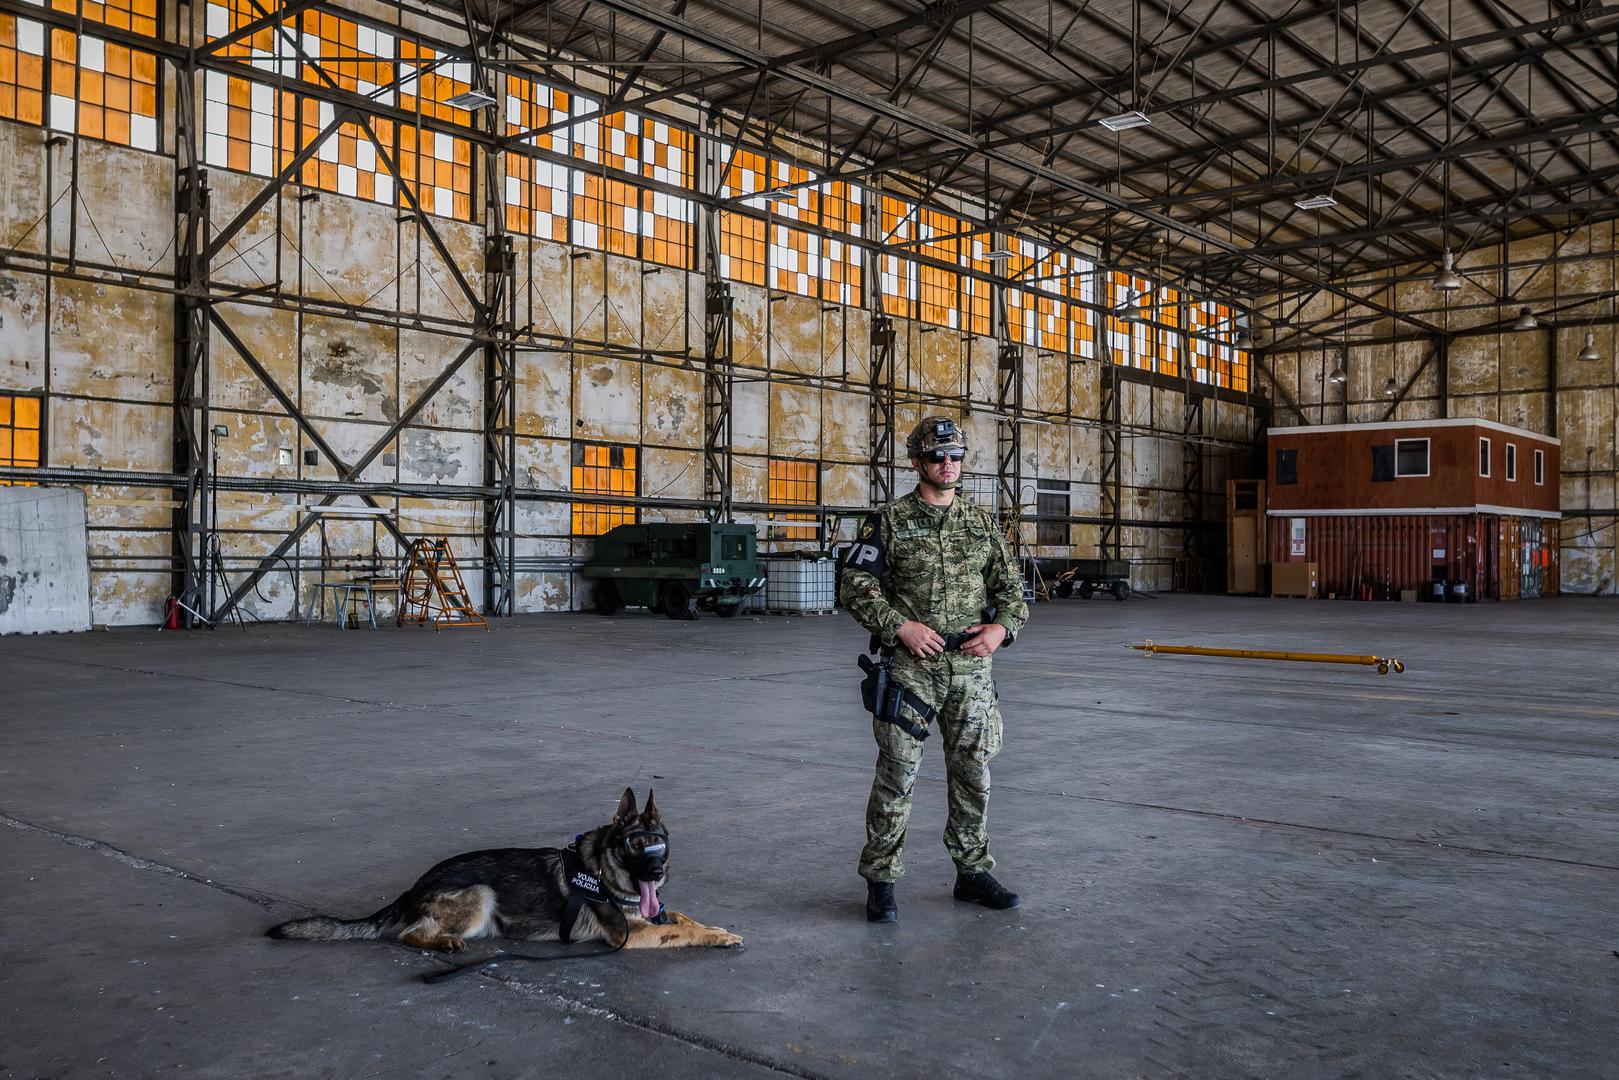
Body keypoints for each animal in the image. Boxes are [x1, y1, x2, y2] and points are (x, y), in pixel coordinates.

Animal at [267, 786, 744, 952]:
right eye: (634, 846)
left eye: (660, 844)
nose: (656, 874)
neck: (603, 873)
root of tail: (412, 888)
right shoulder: (633, 934)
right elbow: (682, 930)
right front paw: (716, 937)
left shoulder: (651, 913)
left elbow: (681, 917)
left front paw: (717, 927)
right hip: (481, 893)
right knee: (407, 934)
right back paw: (443, 943)